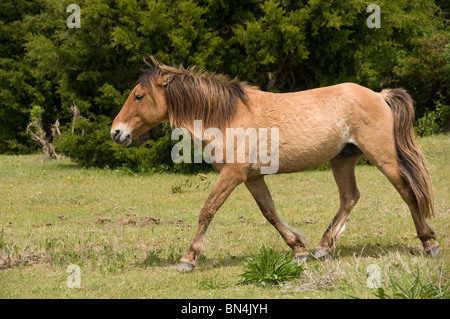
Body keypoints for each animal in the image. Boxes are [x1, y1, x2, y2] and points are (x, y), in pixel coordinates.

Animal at [111, 57, 440, 272]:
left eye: (138, 96)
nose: (116, 132)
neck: (226, 116)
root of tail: (379, 96)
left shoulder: (233, 174)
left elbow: (208, 210)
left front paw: (187, 260)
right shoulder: (252, 177)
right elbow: (269, 212)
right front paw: (299, 250)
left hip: (383, 156)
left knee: (407, 192)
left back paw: (429, 244)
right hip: (342, 159)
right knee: (350, 197)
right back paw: (323, 247)